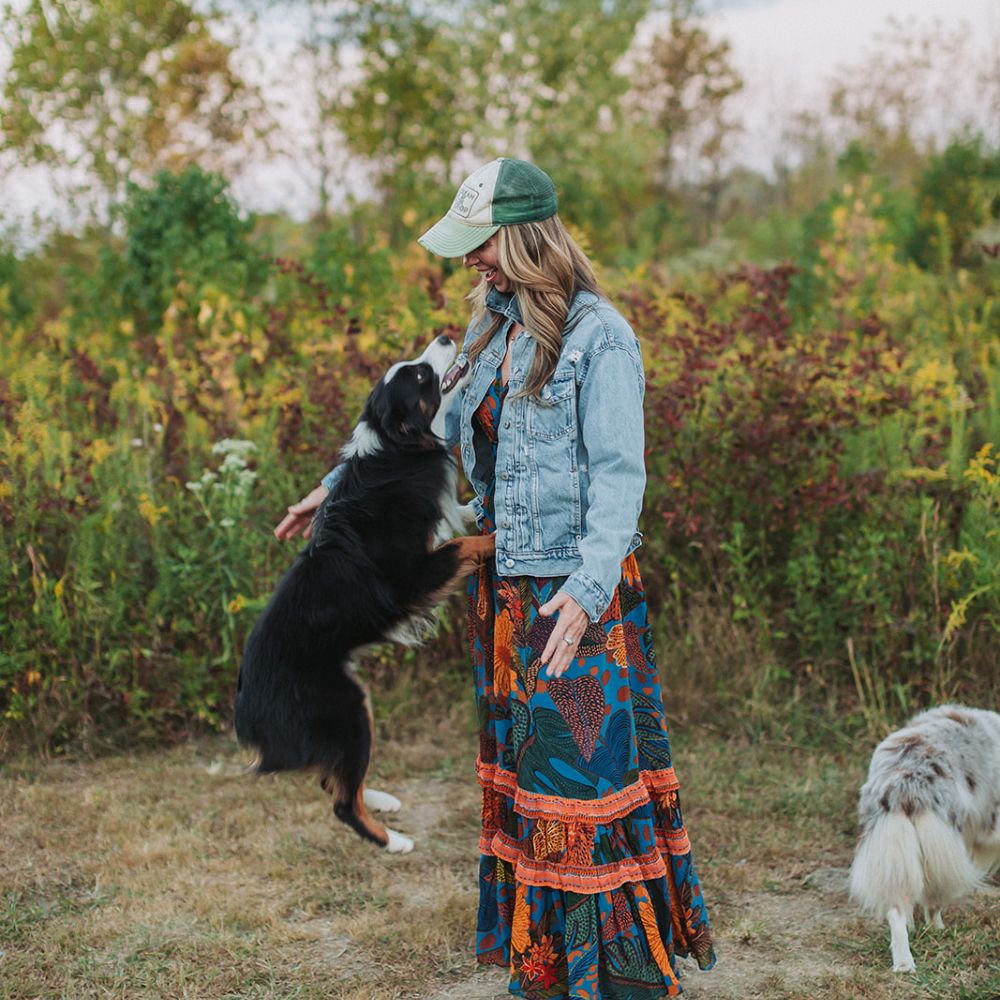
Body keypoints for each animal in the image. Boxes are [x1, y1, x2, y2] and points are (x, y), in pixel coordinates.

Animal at [230, 336, 488, 852]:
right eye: (420, 377)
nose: (445, 338)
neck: (396, 450)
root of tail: (245, 708)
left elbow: (460, 517)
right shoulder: (412, 577)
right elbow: (465, 543)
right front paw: (498, 539)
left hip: (354, 704)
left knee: (334, 778)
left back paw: (382, 801)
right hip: (346, 709)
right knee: (341, 801)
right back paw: (394, 840)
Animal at [848, 704, 1000, 968]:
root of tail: (905, 782)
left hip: (893, 845)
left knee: (897, 908)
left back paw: (904, 963)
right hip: (943, 847)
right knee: (933, 901)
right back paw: (937, 931)